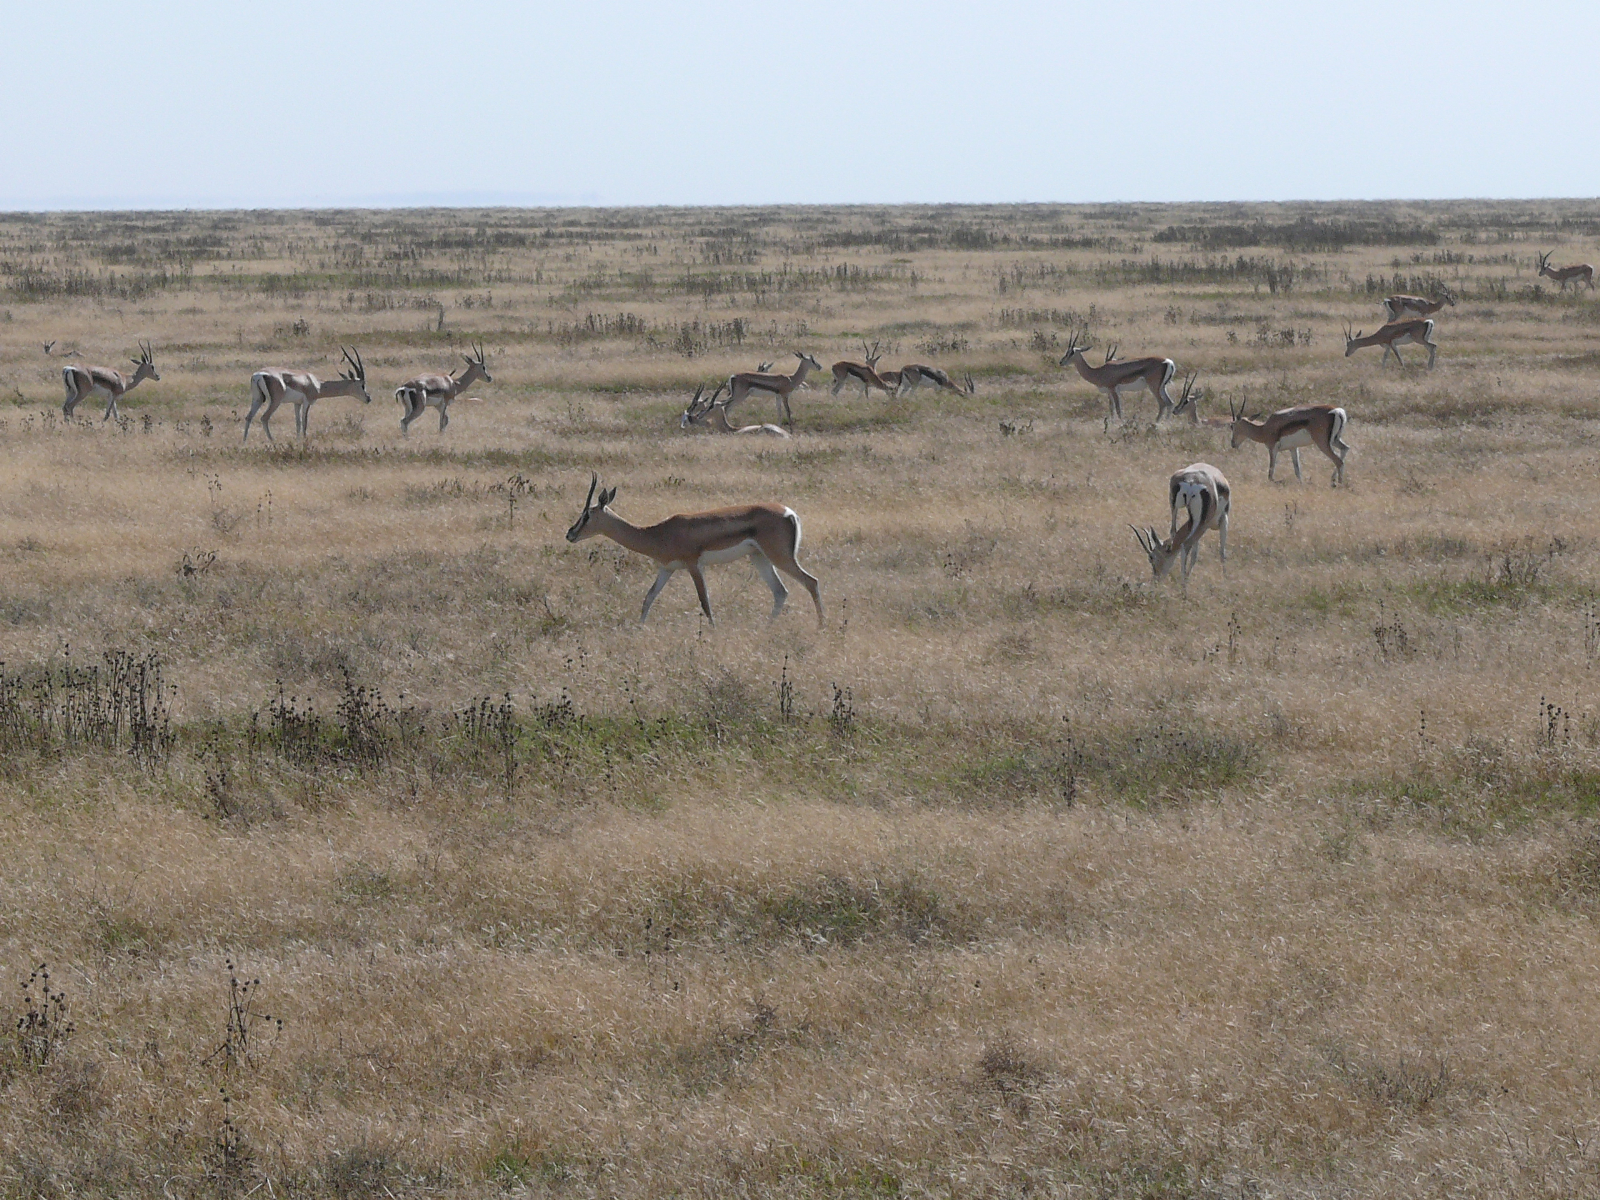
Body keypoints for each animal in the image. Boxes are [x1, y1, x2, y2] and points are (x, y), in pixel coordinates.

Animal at [565, 473, 823, 626]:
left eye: (587, 515)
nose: (570, 534)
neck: (658, 533)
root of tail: (790, 513)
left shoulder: (694, 566)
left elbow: (704, 601)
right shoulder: (667, 569)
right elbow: (648, 597)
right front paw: (638, 629)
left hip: (780, 557)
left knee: (811, 582)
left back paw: (821, 626)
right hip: (759, 558)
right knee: (780, 592)